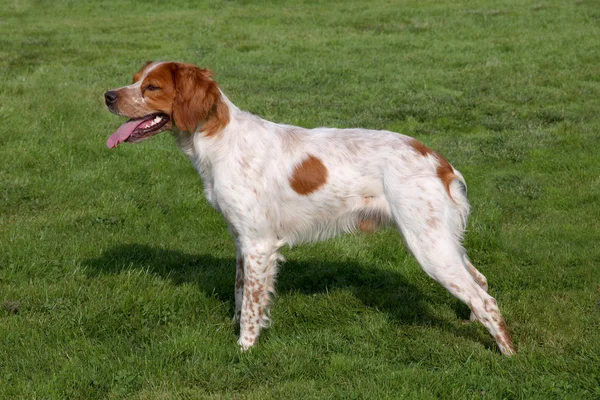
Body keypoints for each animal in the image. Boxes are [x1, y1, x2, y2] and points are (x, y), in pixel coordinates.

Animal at [103, 61, 516, 354]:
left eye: (152, 87)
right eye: (134, 79)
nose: (107, 95)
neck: (218, 141)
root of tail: (438, 160)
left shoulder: (258, 245)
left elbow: (252, 305)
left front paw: (244, 348)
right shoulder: (241, 240)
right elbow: (240, 292)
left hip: (428, 246)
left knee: (487, 300)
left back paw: (509, 355)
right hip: (441, 241)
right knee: (479, 281)